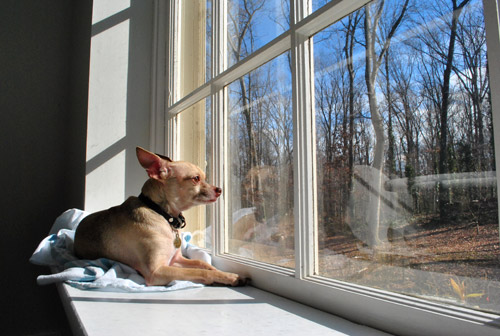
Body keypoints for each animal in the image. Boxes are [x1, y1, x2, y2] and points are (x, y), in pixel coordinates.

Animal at [73, 147, 244, 286]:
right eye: (196, 179)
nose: (220, 189)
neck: (163, 214)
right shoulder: (156, 271)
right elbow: (199, 271)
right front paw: (228, 277)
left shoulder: (176, 260)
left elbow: (202, 264)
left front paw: (225, 273)